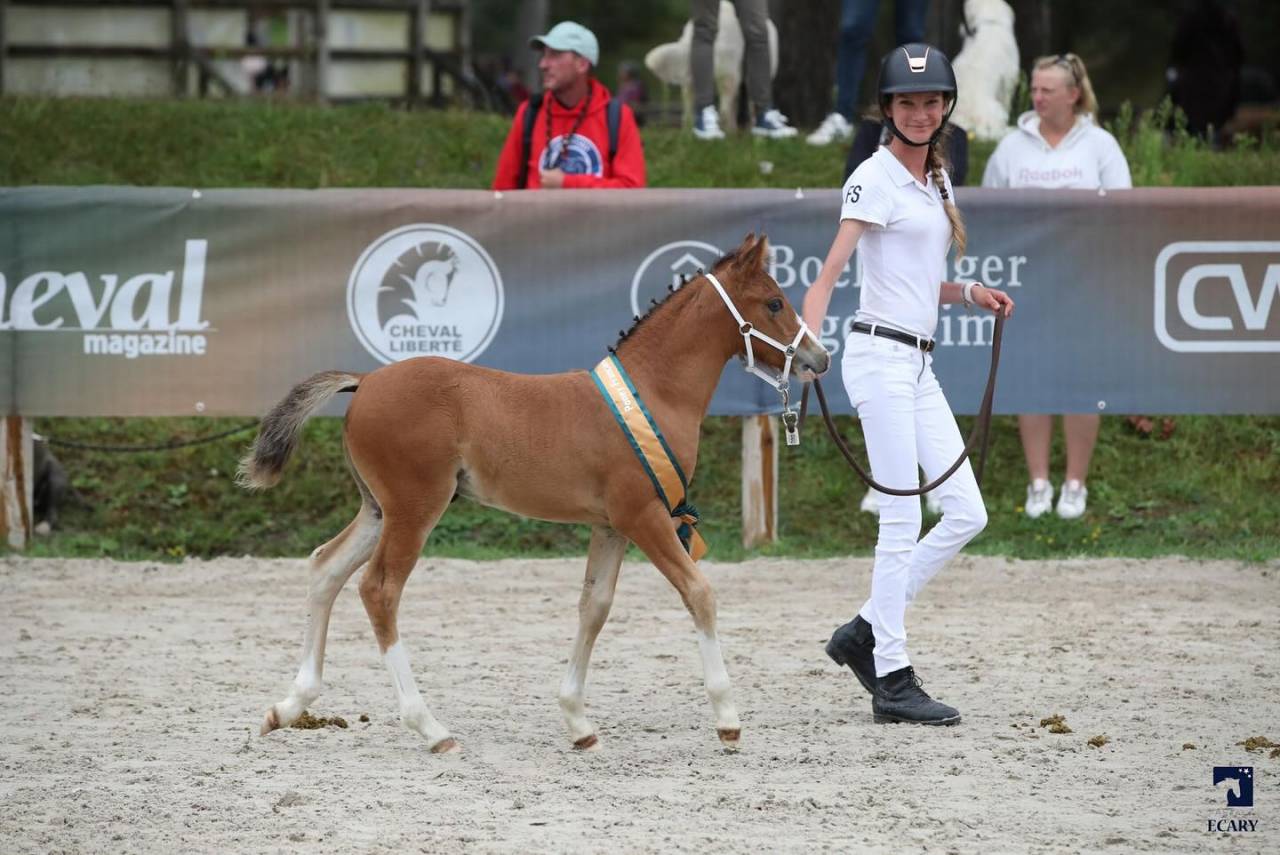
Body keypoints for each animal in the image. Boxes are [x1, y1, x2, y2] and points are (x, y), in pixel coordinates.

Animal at [238, 233, 830, 753]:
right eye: (774, 302)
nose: (818, 359)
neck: (653, 393)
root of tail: (365, 382)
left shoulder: (609, 524)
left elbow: (594, 606)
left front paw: (579, 724)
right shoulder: (643, 515)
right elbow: (698, 592)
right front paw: (728, 721)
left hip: (378, 509)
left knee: (325, 567)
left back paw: (288, 706)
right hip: (414, 508)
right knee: (379, 589)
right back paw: (431, 728)